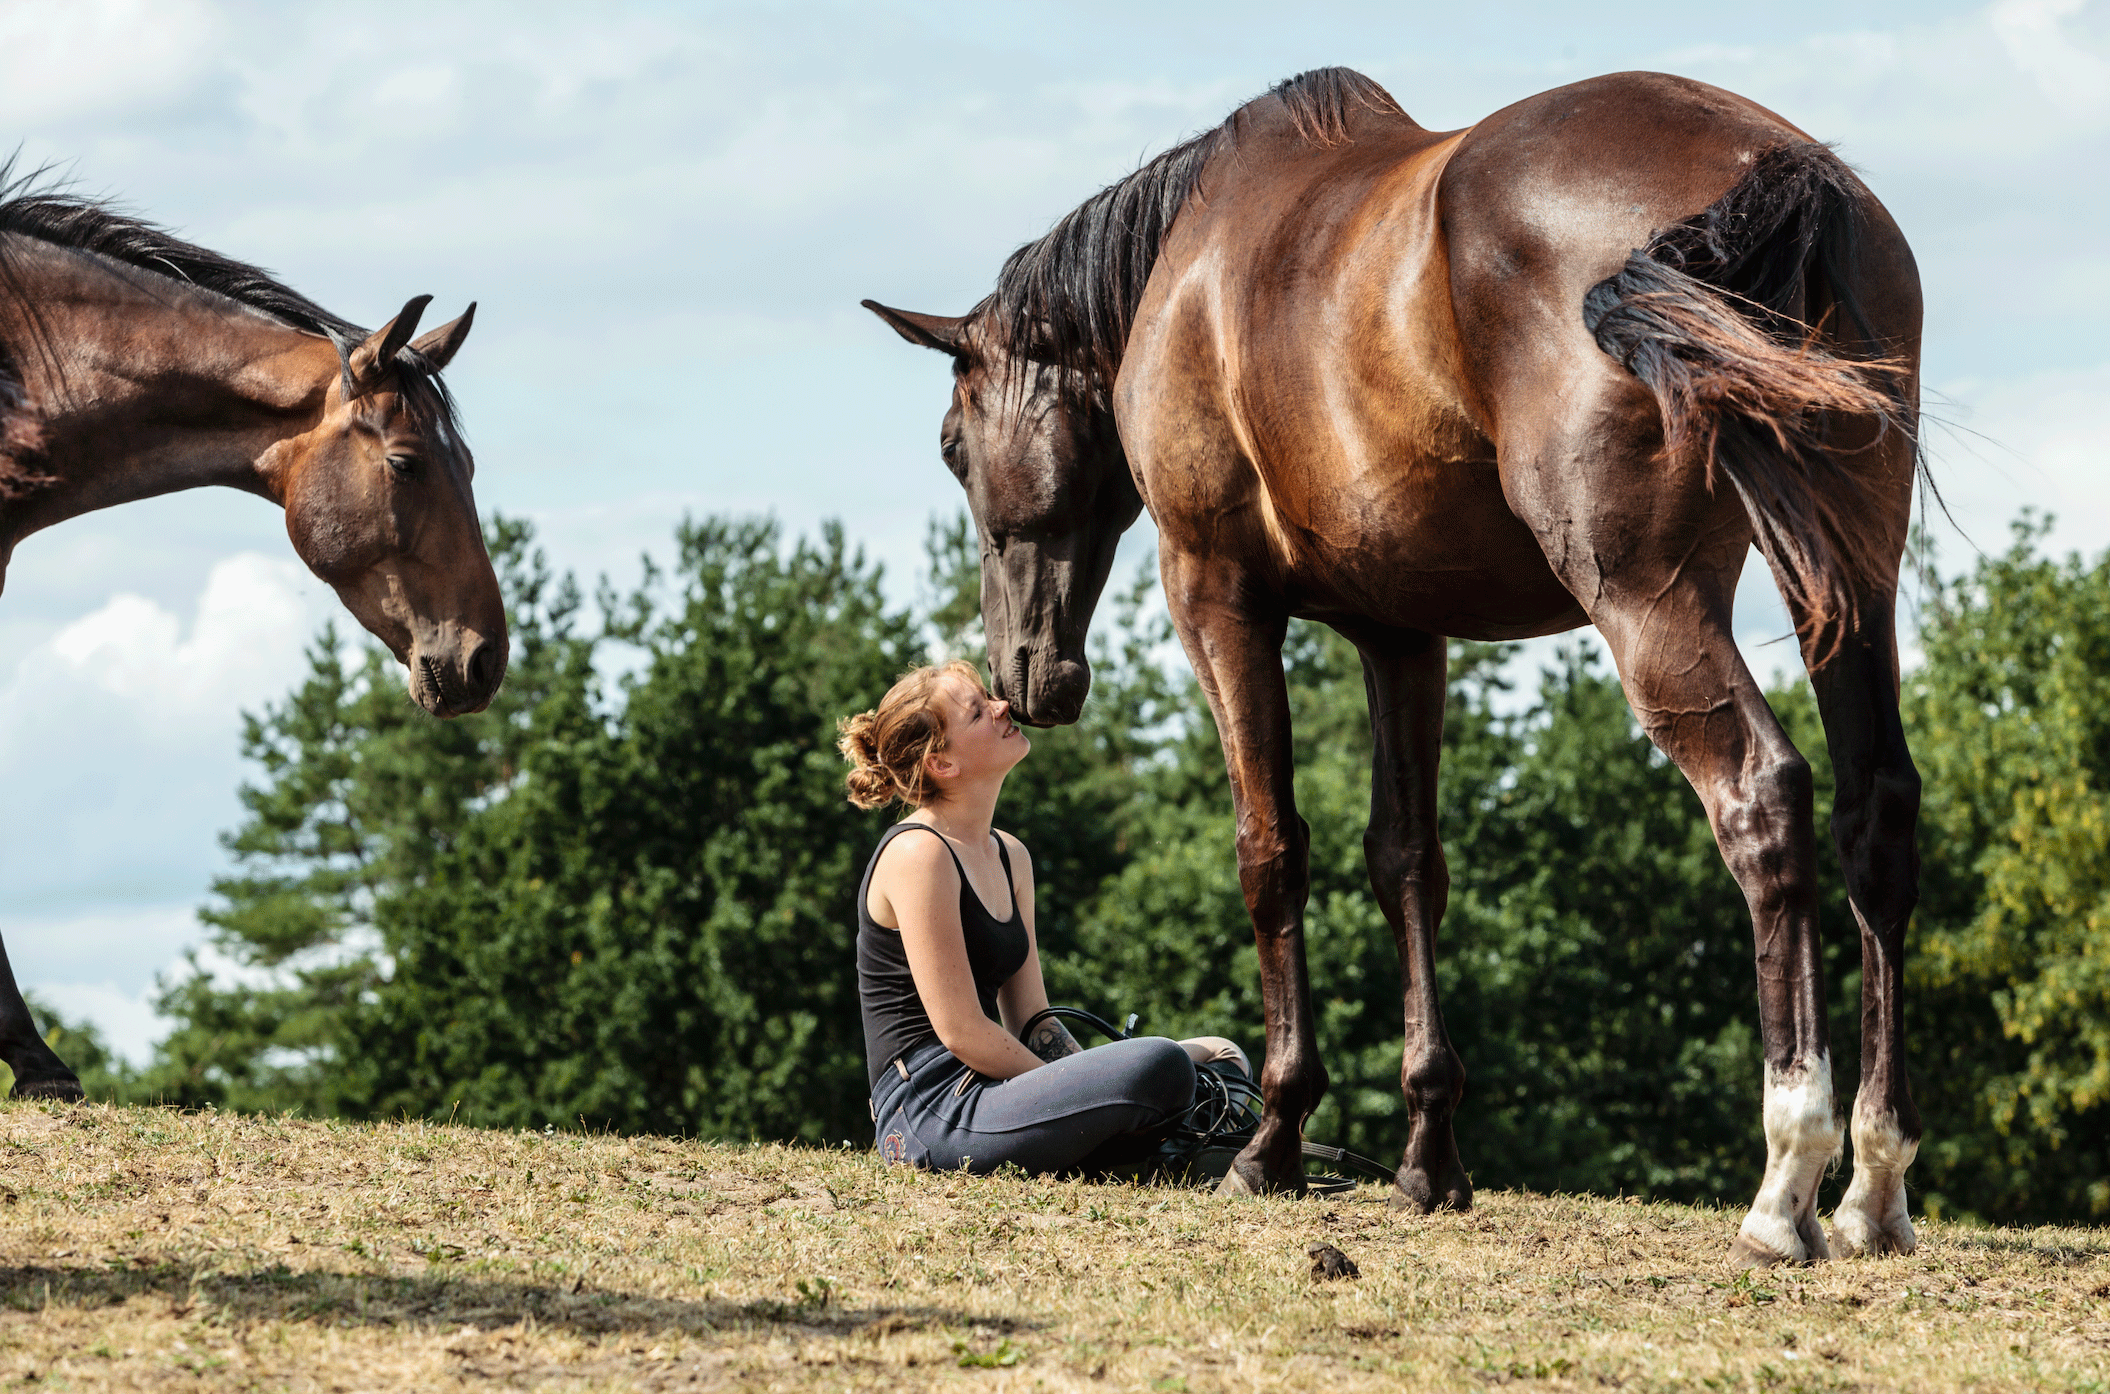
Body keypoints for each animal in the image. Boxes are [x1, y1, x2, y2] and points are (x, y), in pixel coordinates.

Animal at [867, 67, 1925, 1267]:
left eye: (953, 447)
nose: (1024, 675)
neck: (1190, 267)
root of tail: (1771, 167)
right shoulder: (1402, 631)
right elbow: (1408, 861)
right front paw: (1428, 1157)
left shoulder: (1216, 598)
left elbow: (1271, 851)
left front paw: (1272, 1140)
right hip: (1851, 581)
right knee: (1874, 813)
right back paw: (1871, 1187)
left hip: (1649, 598)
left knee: (1761, 798)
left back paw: (1785, 1182)